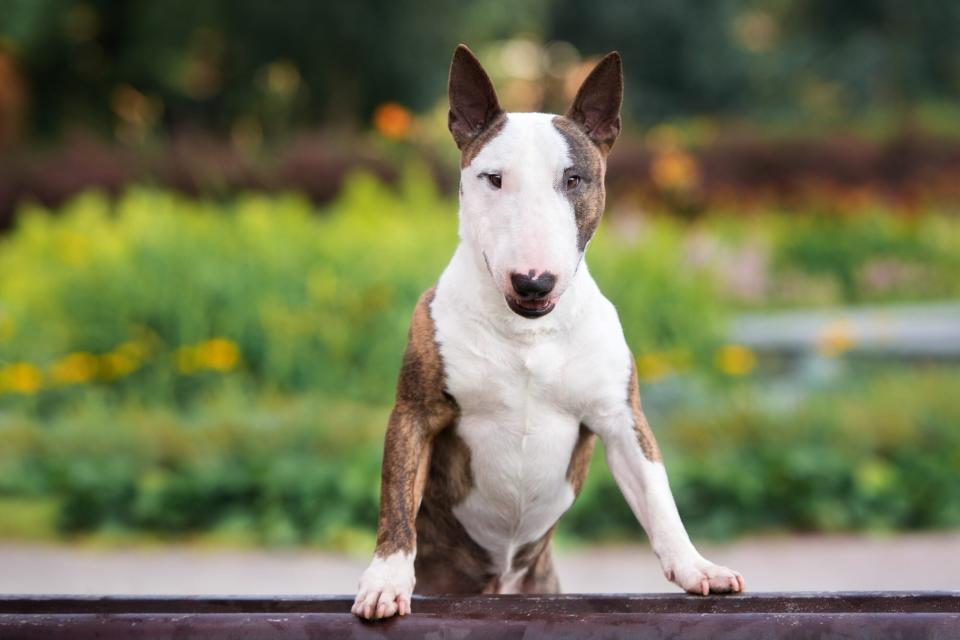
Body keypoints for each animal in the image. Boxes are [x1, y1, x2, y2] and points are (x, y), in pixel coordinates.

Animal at [350, 45, 744, 620]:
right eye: (492, 178)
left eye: (573, 179)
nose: (533, 281)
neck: (526, 334)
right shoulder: (415, 413)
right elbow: (396, 498)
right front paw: (386, 581)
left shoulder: (621, 418)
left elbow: (657, 493)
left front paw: (697, 567)